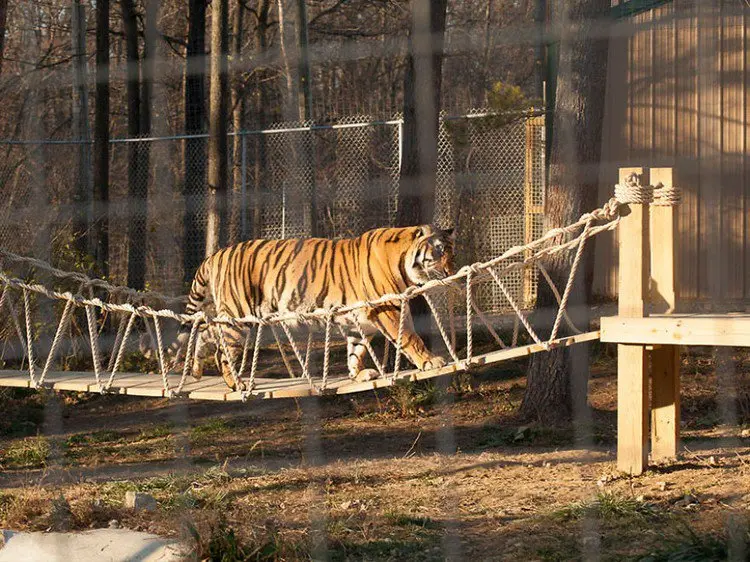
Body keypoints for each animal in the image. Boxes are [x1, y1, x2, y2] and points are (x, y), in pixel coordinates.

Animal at [175, 224, 458, 390]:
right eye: (440, 251)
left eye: (452, 253)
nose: (450, 272)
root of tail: (215, 255)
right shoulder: (387, 308)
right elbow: (410, 338)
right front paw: (431, 361)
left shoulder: (360, 320)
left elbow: (356, 351)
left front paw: (357, 376)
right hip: (238, 316)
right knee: (222, 351)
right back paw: (237, 384)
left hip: (231, 316)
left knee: (206, 332)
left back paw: (197, 370)